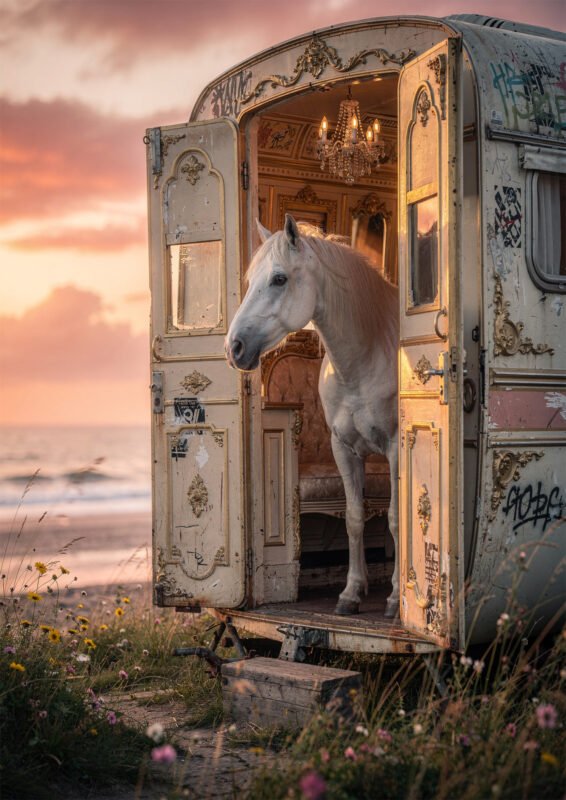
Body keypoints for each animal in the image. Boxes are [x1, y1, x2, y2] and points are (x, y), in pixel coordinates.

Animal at [225, 214, 399, 617]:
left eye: (279, 278)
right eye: (249, 280)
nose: (234, 347)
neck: (365, 358)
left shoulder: (398, 448)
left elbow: (398, 519)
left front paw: (397, 598)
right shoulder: (344, 448)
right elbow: (355, 518)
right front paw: (351, 593)